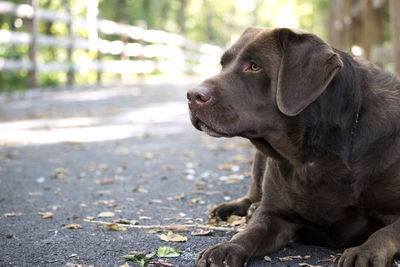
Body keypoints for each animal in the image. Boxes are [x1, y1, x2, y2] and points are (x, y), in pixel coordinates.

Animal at [187, 27, 400, 267]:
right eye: (223, 64)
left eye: (254, 66)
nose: (192, 95)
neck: (312, 154)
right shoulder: (276, 216)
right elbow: (250, 232)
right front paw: (226, 248)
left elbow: (385, 233)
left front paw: (365, 251)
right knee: (254, 192)